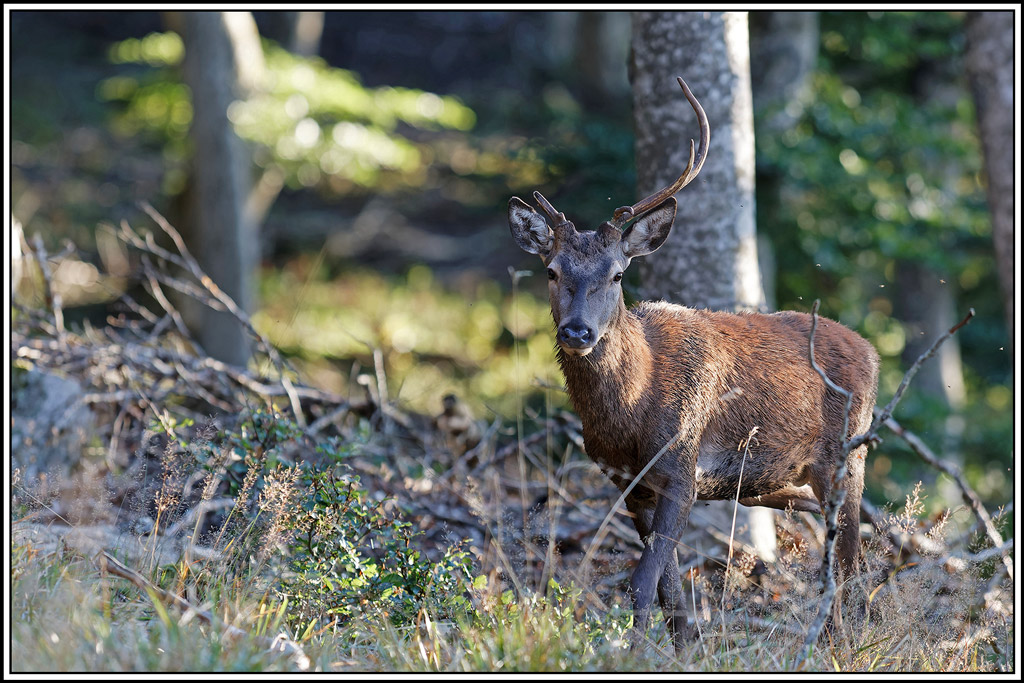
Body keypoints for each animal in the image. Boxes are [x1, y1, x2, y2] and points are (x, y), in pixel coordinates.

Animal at [507, 77, 880, 653]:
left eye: (617, 274)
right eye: (551, 270)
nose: (577, 331)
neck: (631, 414)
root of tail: (872, 352)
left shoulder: (682, 464)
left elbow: (643, 580)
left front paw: (633, 652)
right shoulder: (629, 483)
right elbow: (669, 588)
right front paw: (685, 648)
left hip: (847, 456)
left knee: (851, 558)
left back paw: (847, 641)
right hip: (781, 484)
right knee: (835, 540)